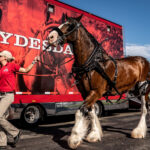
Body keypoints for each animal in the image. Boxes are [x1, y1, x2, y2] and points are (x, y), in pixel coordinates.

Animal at [48, 15, 149, 149]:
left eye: (71, 25)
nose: (50, 37)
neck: (92, 64)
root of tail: (144, 60)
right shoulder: (86, 93)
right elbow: (91, 112)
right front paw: (94, 134)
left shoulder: (96, 91)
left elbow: (80, 112)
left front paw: (74, 138)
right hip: (135, 90)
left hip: (143, 89)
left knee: (144, 109)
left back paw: (138, 132)